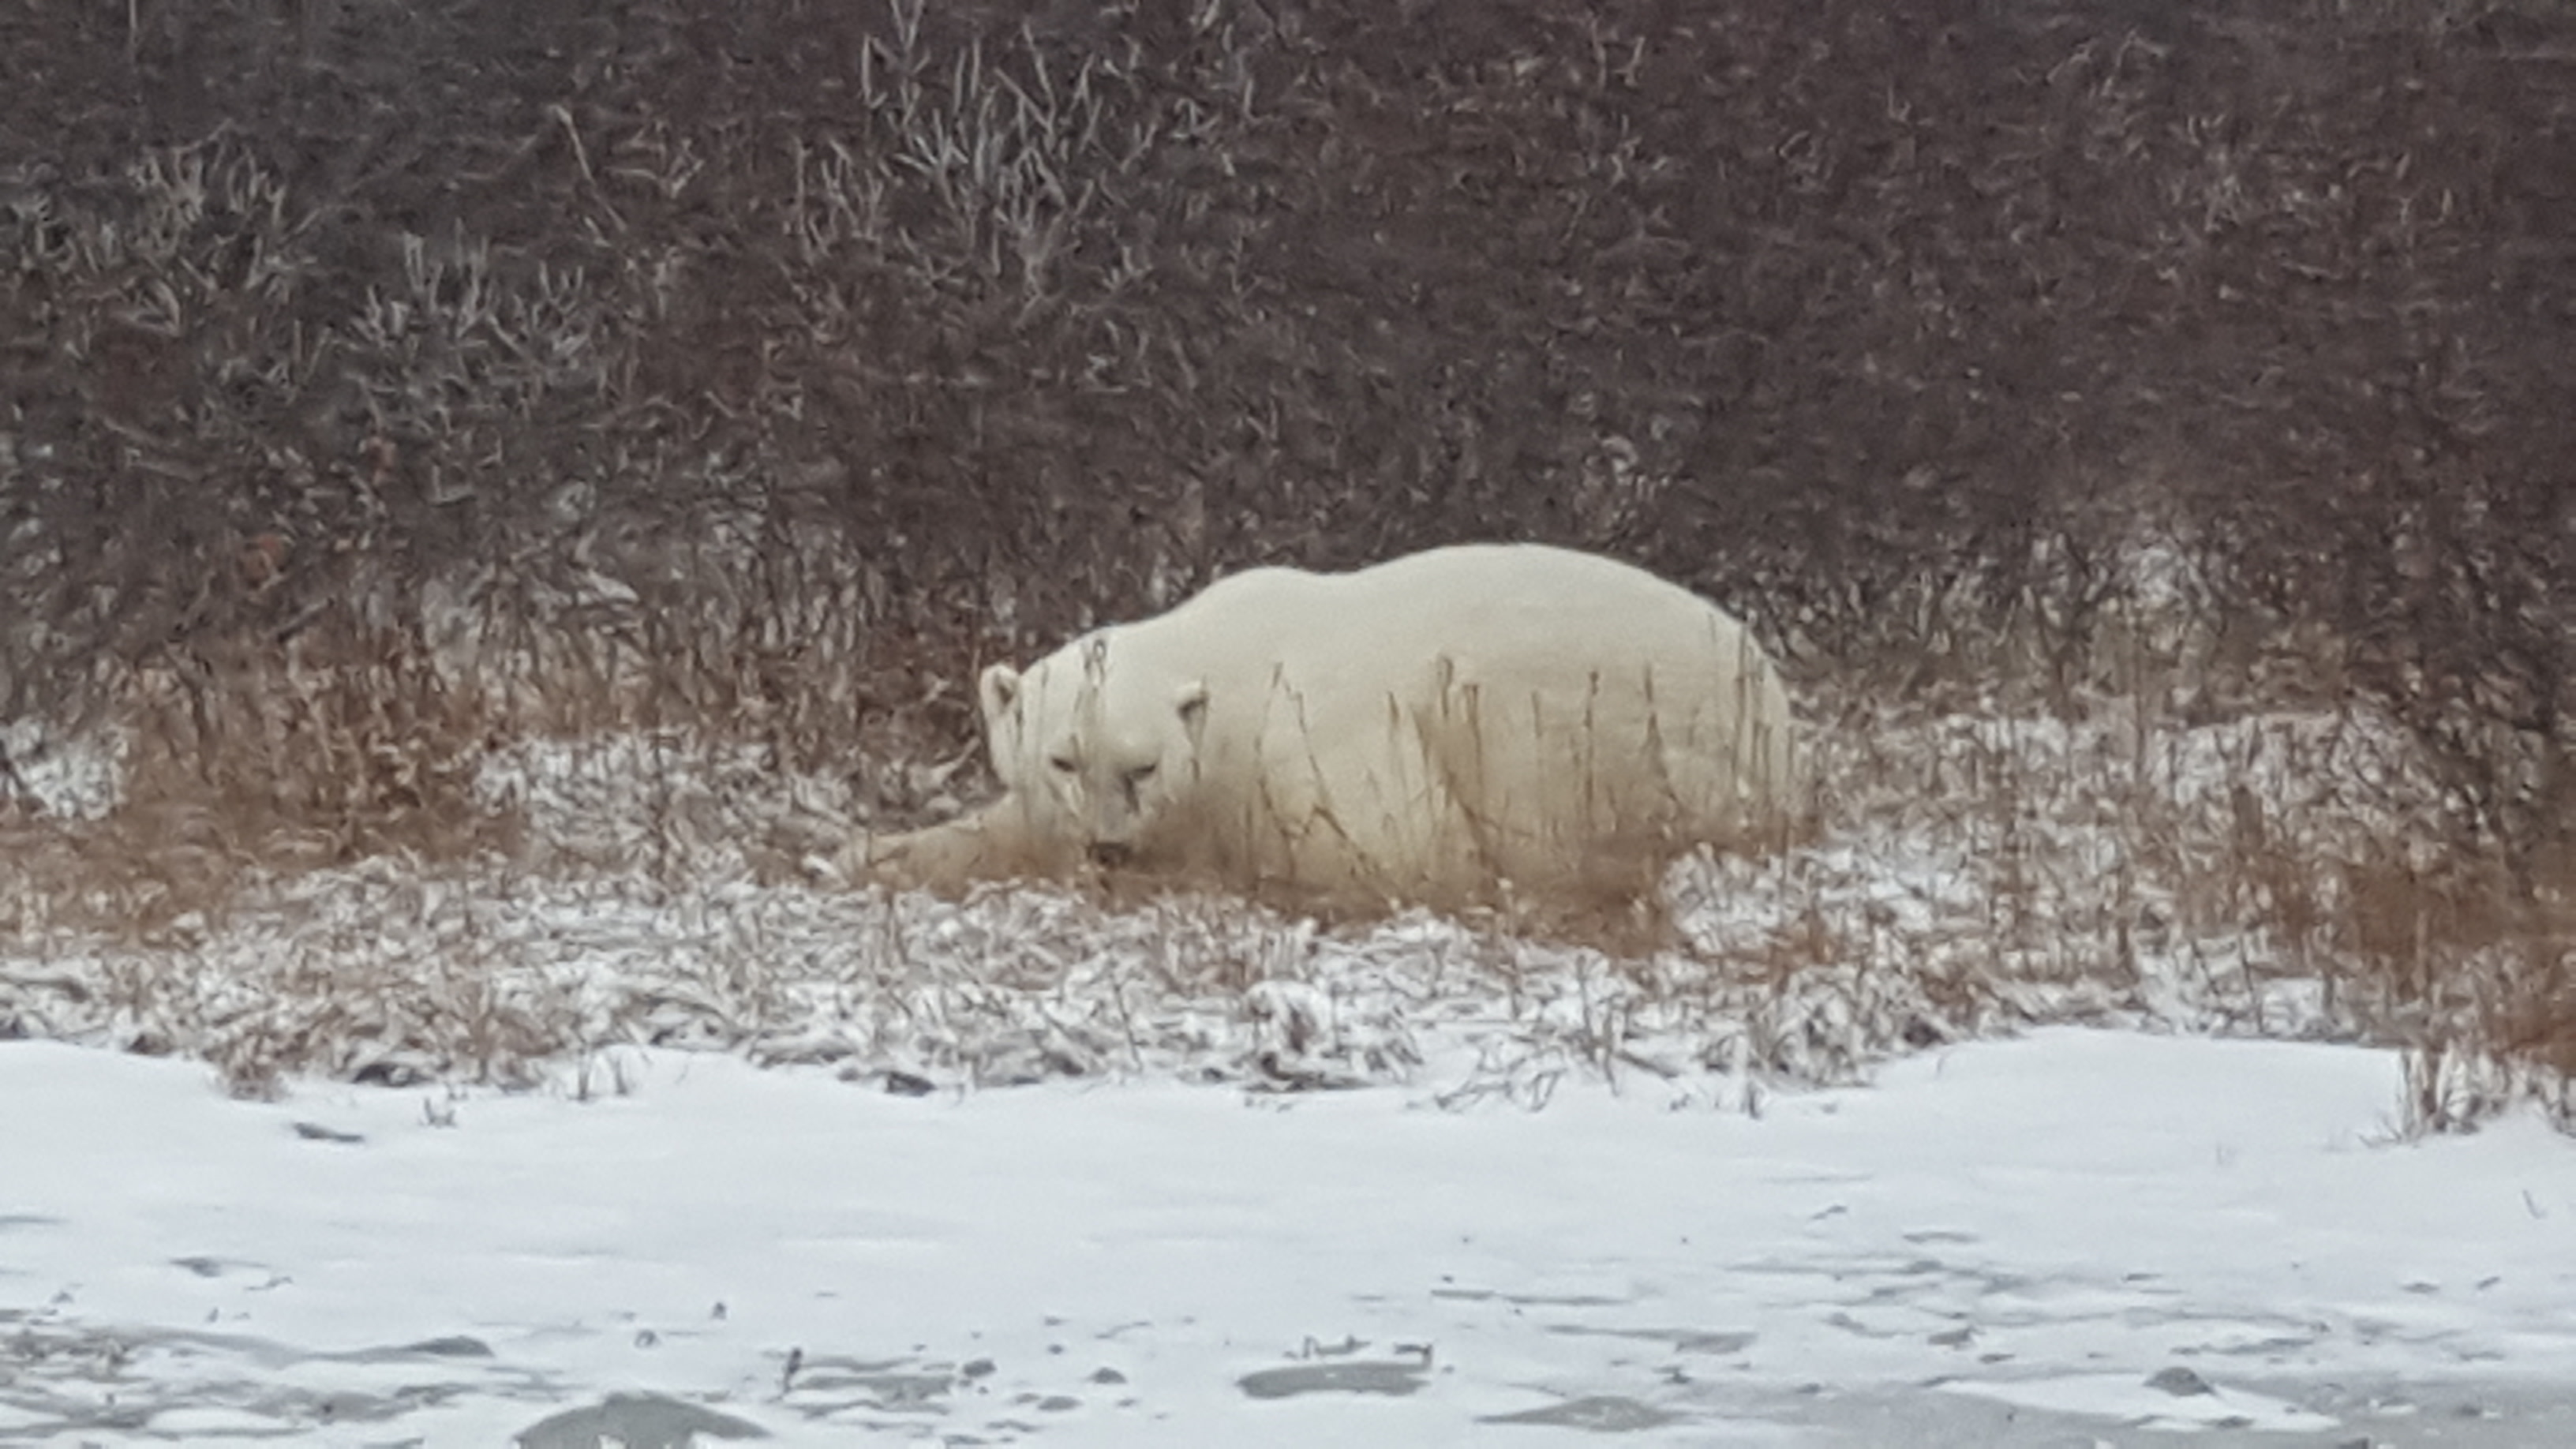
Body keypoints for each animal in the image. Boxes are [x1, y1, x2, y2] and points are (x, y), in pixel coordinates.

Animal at [842, 543, 1799, 918]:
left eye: (1143, 767)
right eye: (1063, 758)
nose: (1109, 848)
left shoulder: (1321, 738)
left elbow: (1401, 850)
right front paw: (864, 854)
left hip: (1658, 753)